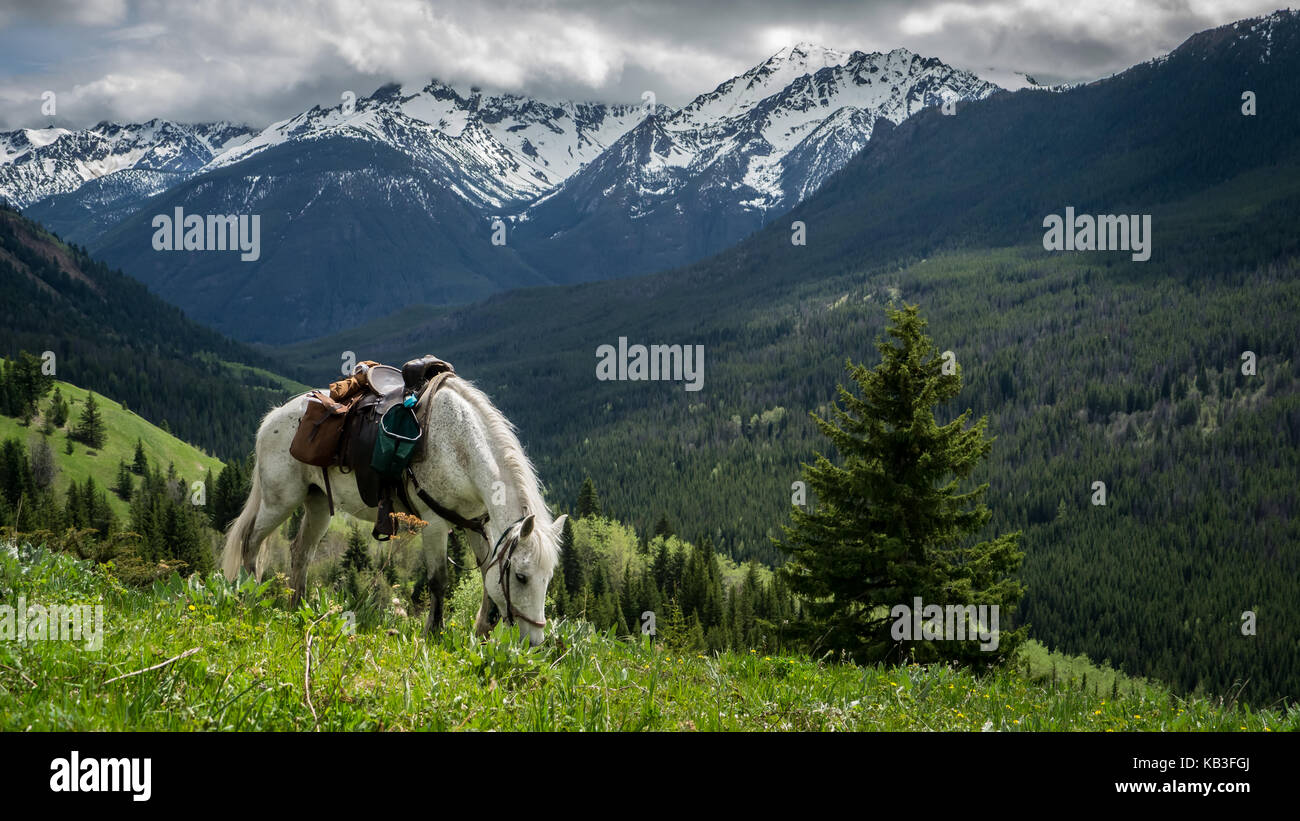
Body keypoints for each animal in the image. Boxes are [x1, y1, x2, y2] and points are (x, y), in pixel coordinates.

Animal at [220, 374, 566, 644]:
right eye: (521, 577)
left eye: (548, 578)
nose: (535, 643)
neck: (460, 446)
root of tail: (273, 418)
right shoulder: (434, 523)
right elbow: (438, 580)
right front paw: (433, 634)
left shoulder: (475, 524)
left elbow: (486, 576)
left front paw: (481, 634)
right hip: (279, 501)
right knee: (251, 542)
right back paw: (249, 597)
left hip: (316, 503)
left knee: (300, 553)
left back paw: (298, 608)